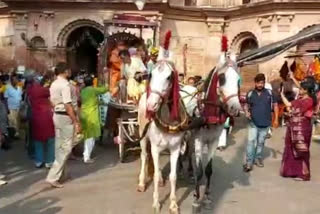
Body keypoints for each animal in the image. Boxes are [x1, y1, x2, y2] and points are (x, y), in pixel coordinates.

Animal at [138, 59, 185, 214]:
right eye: (151, 75)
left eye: (169, 77)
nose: (151, 105)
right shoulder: (155, 147)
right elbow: (154, 173)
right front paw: (156, 203)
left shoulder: (175, 148)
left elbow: (173, 176)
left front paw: (173, 205)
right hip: (142, 135)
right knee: (145, 156)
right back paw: (142, 182)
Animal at [191, 54, 241, 211]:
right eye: (222, 78)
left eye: (238, 79)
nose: (235, 108)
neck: (209, 114)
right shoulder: (198, 140)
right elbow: (199, 171)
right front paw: (196, 199)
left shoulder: (213, 141)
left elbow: (208, 170)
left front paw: (207, 198)